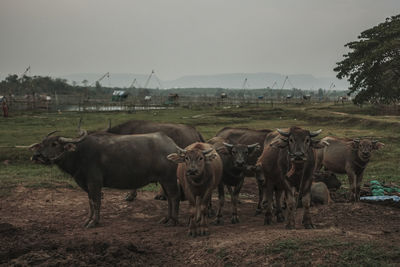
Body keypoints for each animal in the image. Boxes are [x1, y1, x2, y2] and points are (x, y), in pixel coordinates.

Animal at [30, 129, 180, 228]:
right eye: (42, 143)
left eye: (54, 144)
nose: (37, 156)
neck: (79, 154)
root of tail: (173, 146)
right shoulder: (86, 184)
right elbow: (90, 202)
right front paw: (88, 220)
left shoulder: (94, 183)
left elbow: (96, 201)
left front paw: (94, 222)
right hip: (163, 180)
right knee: (169, 199)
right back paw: (166, 219)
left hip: (169, 179)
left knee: (174, 197)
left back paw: (173, 221)